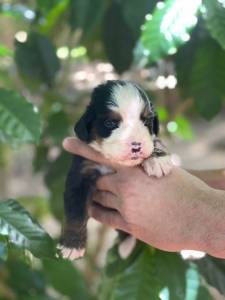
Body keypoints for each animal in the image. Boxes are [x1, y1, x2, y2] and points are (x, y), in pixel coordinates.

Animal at [59, 80, 172, 260]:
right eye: (110, 123)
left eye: (146, 121)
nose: (136, 146)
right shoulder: (81, 176)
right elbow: (75, 213)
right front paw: (72, 245)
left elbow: (156, 140)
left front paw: (157, 158)